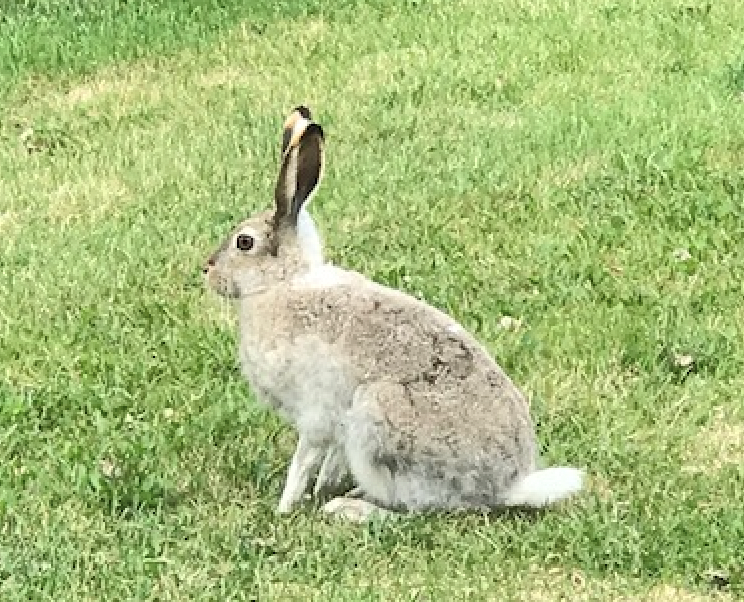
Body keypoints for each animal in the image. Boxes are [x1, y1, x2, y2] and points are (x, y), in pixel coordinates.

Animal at [203, 106, 584, 521]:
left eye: (244, 242)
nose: (207, 270)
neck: (282, 283)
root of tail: (504, 487)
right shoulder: (335, 426)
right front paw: (320, 487)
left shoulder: (316, 415)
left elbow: (302, 462)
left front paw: (284, 508)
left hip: (378, 419)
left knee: (415, 510)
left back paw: (350, 509)